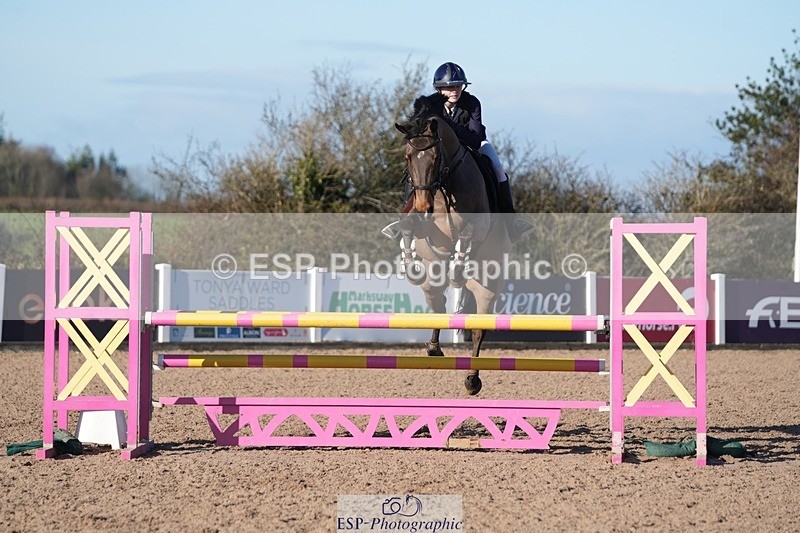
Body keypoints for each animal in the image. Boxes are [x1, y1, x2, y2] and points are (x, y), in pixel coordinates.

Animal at [393, 96, 511, 395]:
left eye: (436, 158)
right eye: (407, 157)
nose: (423, 206)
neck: (444, 184)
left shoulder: (476, 226)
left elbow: (467, 235)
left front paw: (459, 266)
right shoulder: (421, 225)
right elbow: (408, 227)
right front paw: (409, 262)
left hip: (487, 287)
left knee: (479, 327)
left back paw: (472, 379)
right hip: (431, 283)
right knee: (438, 306)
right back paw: (433, 348)